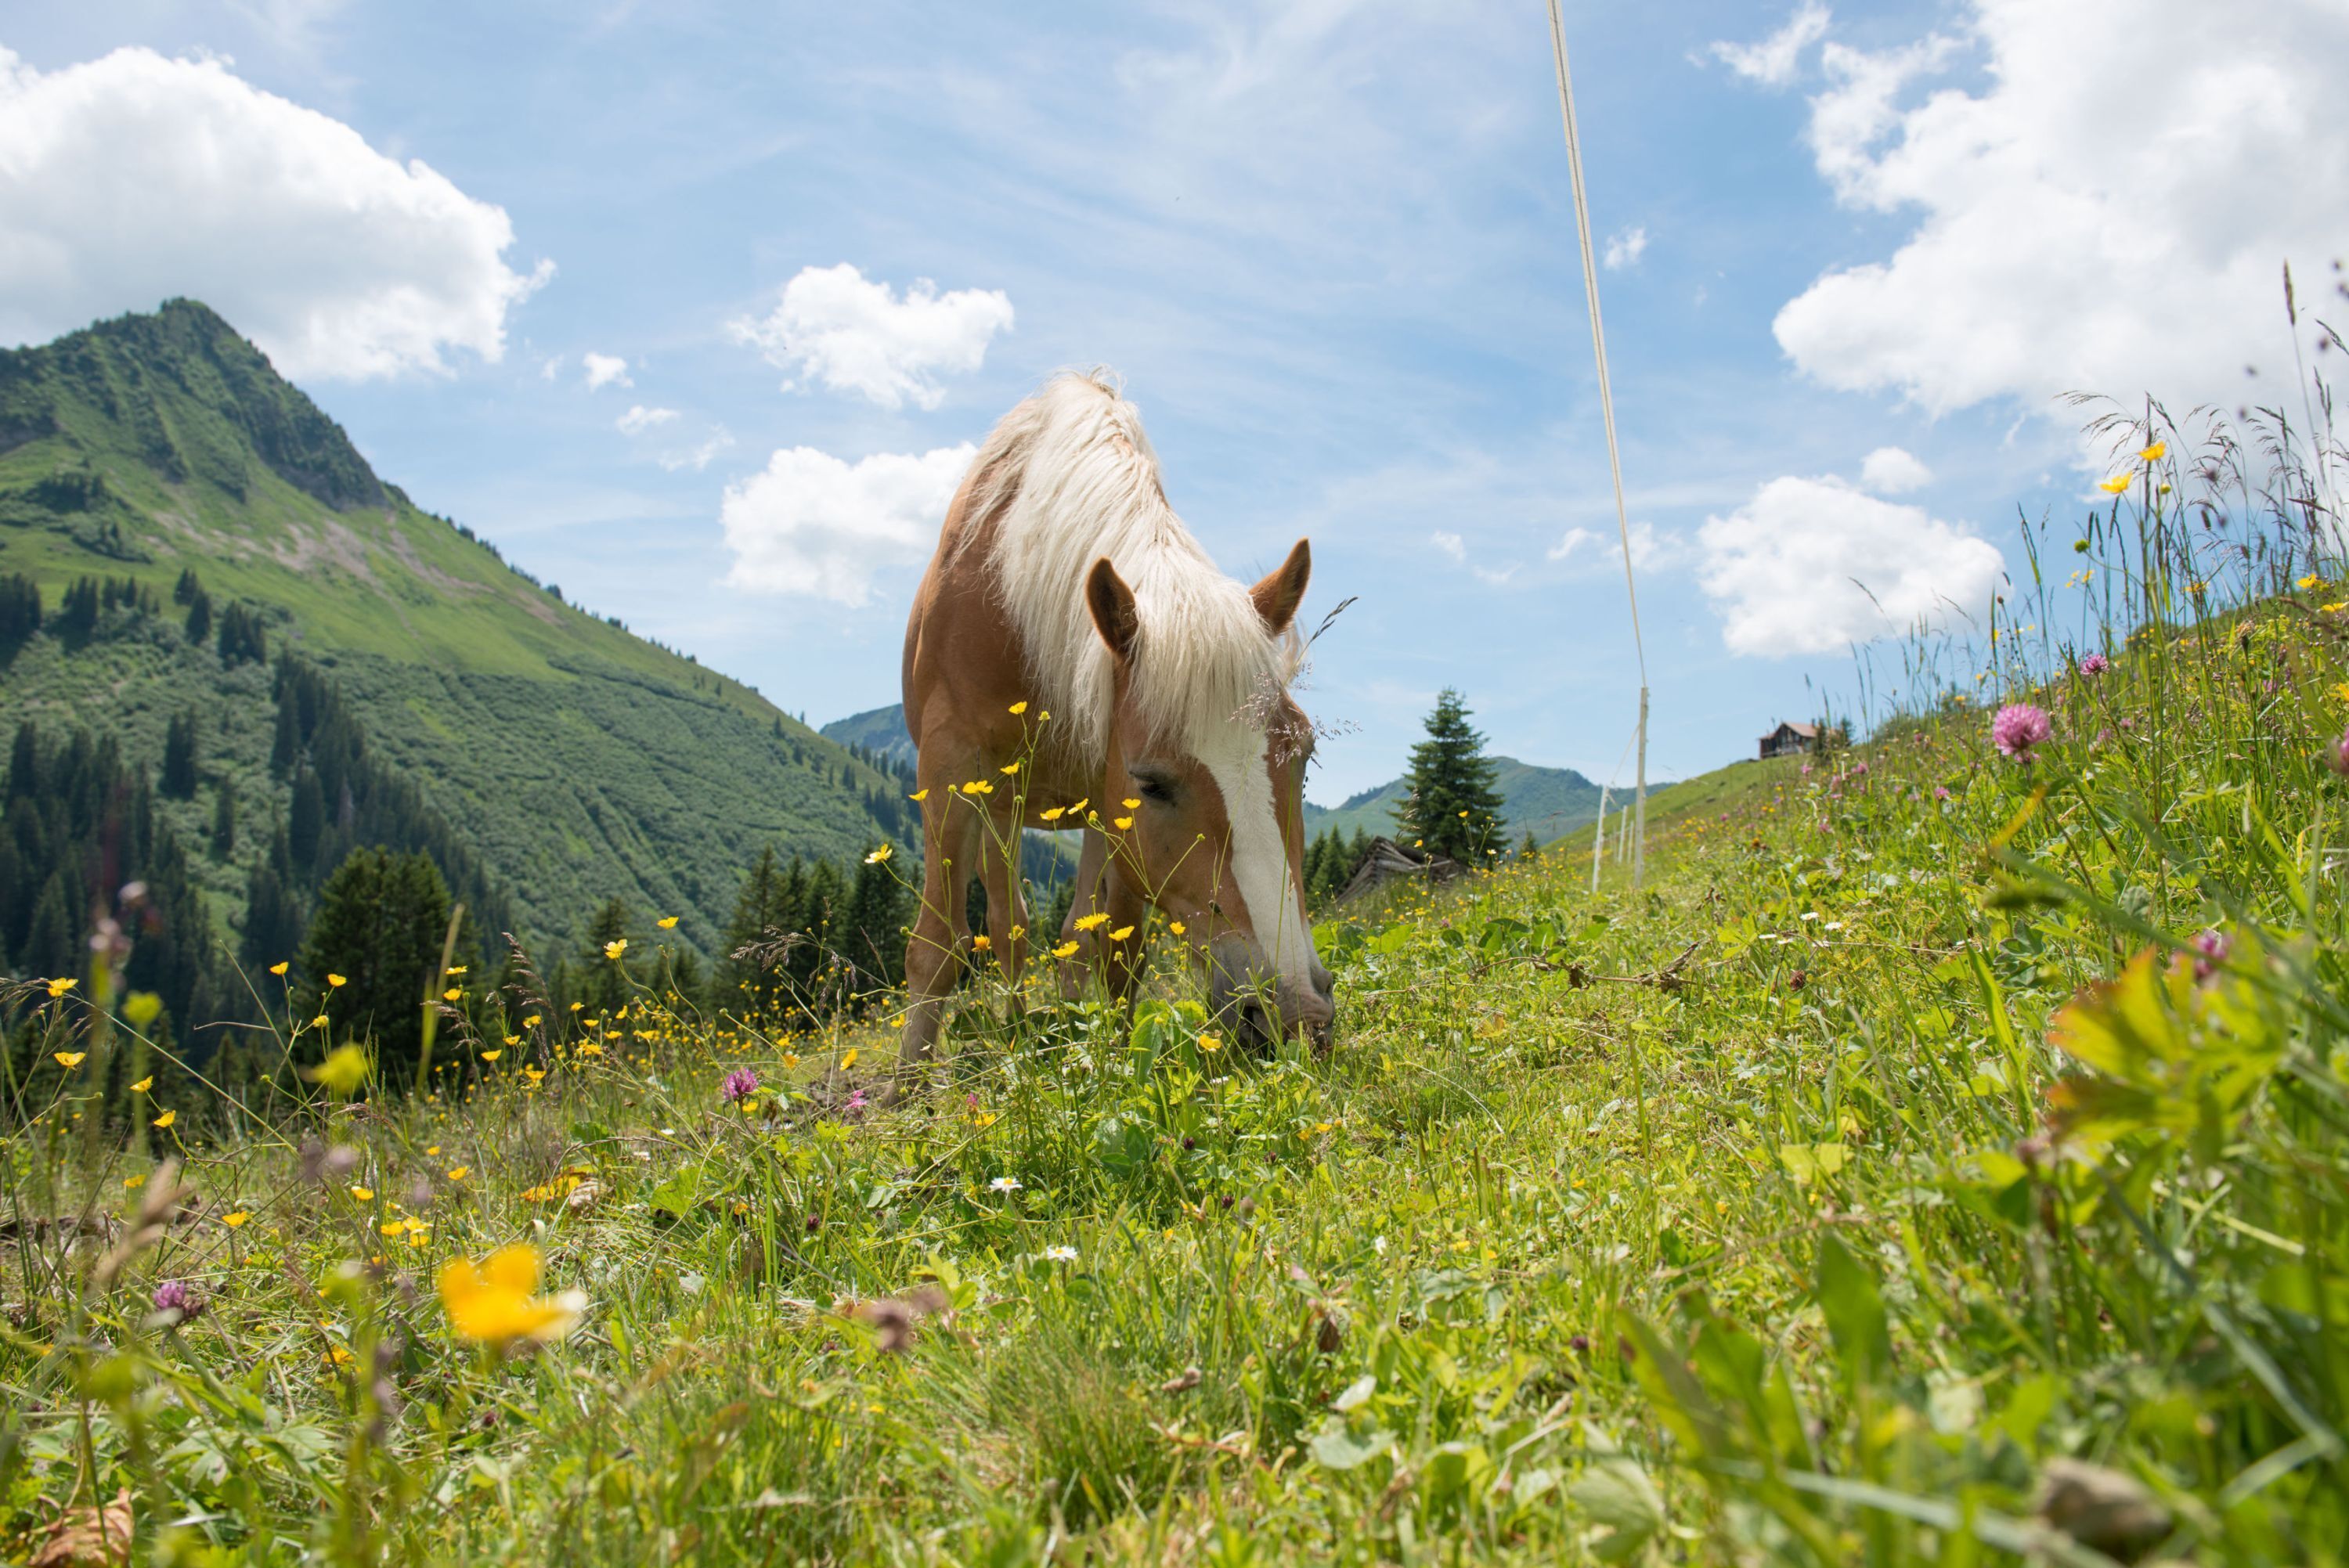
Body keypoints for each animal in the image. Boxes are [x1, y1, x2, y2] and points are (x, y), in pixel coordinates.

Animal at [896, 371, 1336, 1076]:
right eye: (1152, 782)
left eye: (1303, 756)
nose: (1297, 1013)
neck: (1011, 598)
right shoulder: (948, 763)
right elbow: (935, 946)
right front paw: (904, 1091)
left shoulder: (1104, 796)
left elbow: (1111, 951)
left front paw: (1112, 1054)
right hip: (996, 807)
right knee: (1007, 926)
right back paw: (1014, 1033)